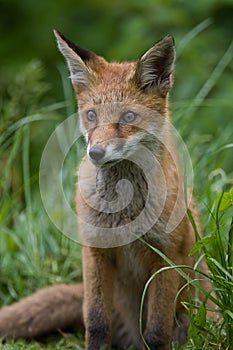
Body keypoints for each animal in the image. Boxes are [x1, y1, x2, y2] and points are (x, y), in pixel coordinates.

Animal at [0, 31, 216, 348]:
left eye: (128, 117)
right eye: (91, 115)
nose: (96, 153)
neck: (123, 215)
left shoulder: (166, 257)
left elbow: (156, 331)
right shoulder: (95, 252)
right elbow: (96, 322)